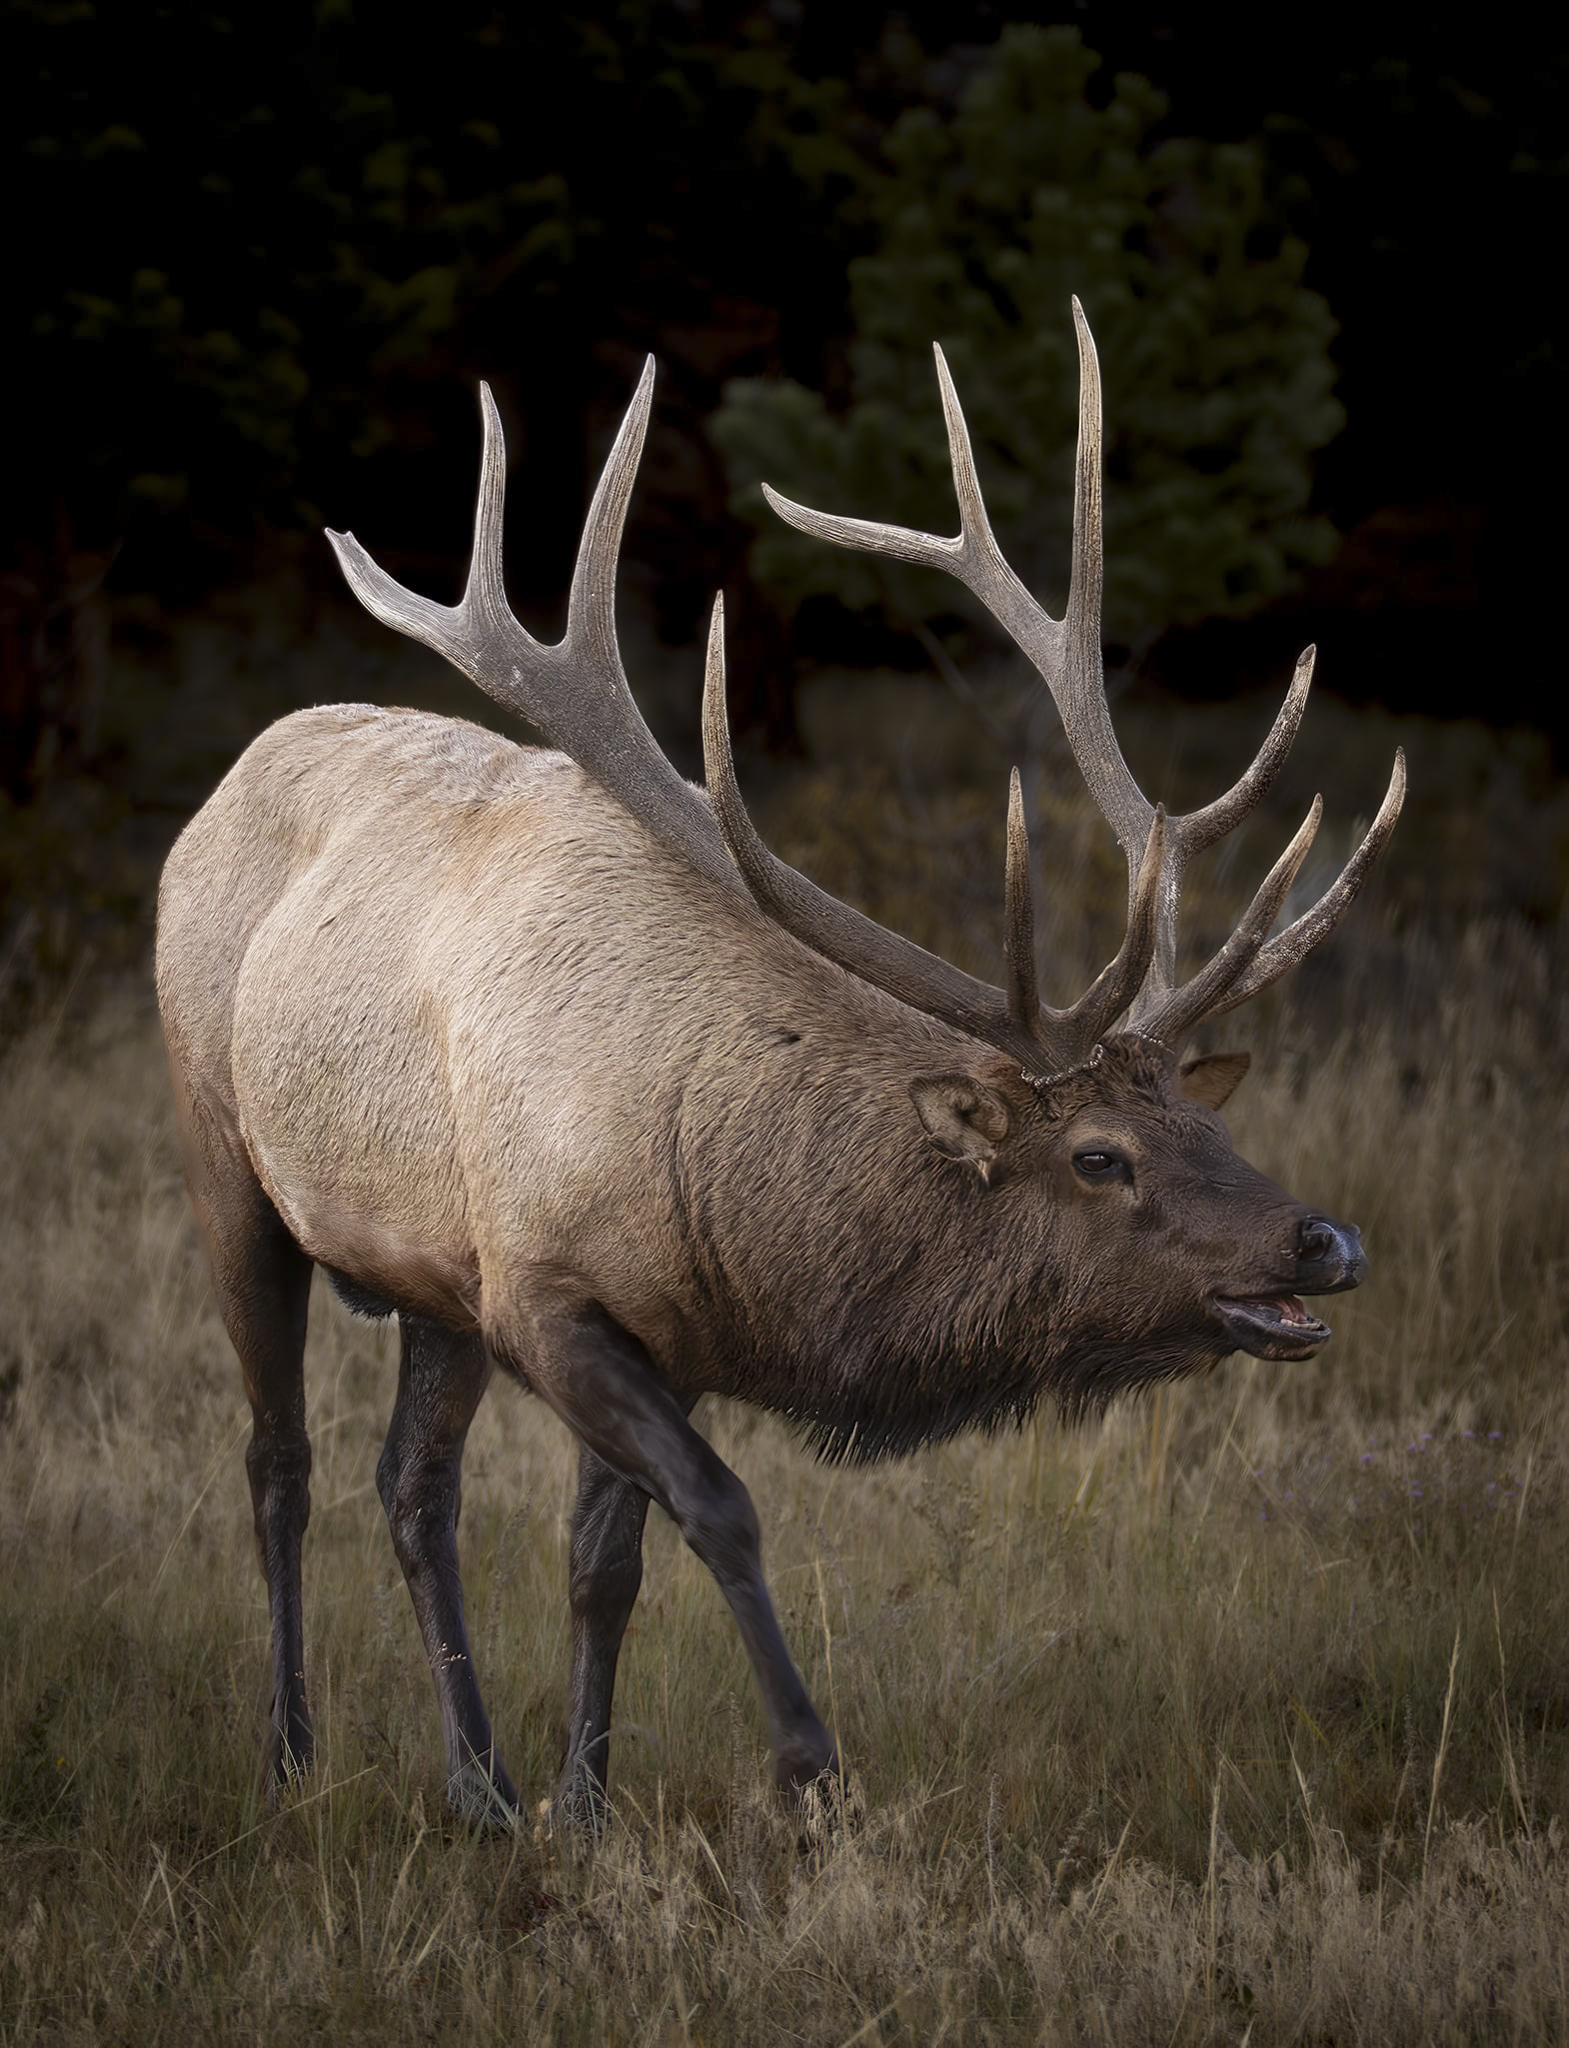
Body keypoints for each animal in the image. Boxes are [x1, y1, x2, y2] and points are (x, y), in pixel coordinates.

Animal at [156, 302, 1403, 1831]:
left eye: (1202, 1122)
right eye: (1097, 1155)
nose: (1322, 1238)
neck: (730, 1197)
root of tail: (227, 778)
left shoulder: (649, 1325)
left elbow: (602, 1564)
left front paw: (580, 1803)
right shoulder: (545, 1293)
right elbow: (723, 1509)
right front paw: (808, 1767)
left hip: (426, 1270)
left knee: (412, 1487)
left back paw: (479, 1784)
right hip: (226, 1161)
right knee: (280, 1460)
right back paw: (289, 1751)